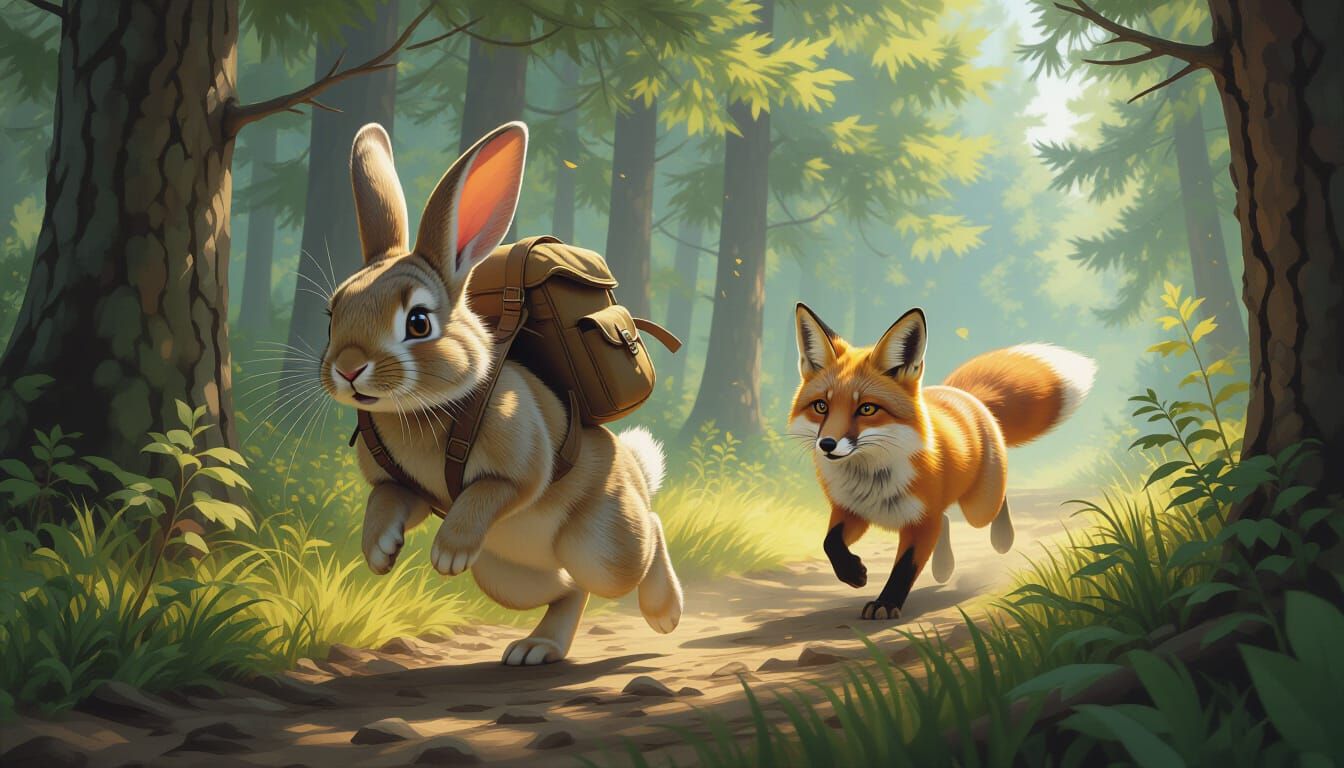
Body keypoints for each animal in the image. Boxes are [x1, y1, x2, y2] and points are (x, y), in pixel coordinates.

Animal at [317, 121, 683, 666]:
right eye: (333, 314)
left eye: (418, 322)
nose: (347, 368)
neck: (424, 410)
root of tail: (635, 474)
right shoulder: (404, 489)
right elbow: (386, 497)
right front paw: (379, 552)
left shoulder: (521, 463)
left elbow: (491, 491)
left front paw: (447, 554)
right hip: (503, 575)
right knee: (569, 590)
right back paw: (535, 648)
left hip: (606, 544)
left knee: (646, 539)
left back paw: (665, 612)